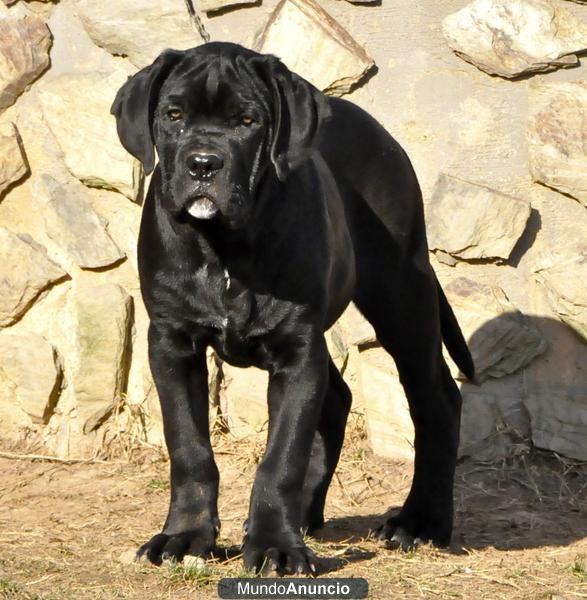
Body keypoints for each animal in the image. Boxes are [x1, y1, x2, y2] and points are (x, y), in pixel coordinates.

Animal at [112, 42, 476, 576]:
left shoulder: (297, 348)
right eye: (173, 115)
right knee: (339, 398)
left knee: (437, 400)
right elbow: (189, 446)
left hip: (402, 296)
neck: (225, 248)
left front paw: (274, 546)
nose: (203, 163)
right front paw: (185, 536)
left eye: (247, 121)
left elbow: (281, 455)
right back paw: (305, 513)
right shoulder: (172, 342)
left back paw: (420, 522)